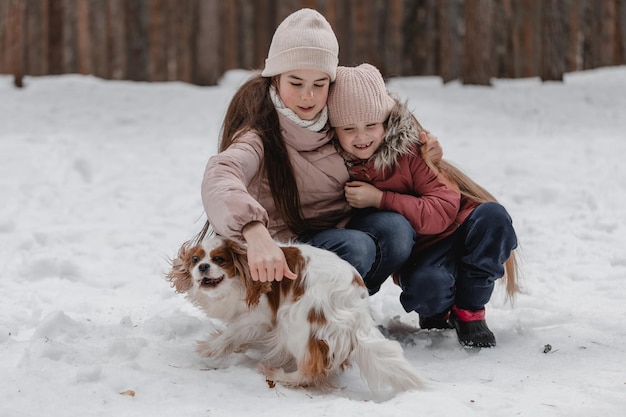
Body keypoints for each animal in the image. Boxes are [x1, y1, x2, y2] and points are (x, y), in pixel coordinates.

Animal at [165, 236, 424, 394]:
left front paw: (210, 348)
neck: (241, 278)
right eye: (195, 259)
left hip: (295, 319)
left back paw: (280, 375)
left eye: (219, 259)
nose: (202, 267)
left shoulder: (260, 315)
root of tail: (355, 300)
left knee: (311, 367)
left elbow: (232, 332)